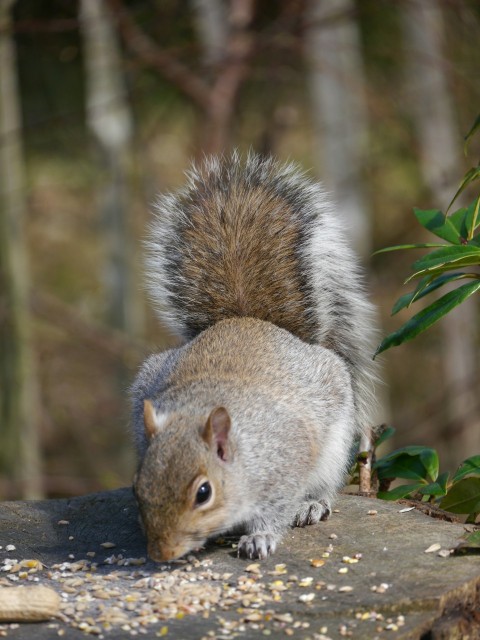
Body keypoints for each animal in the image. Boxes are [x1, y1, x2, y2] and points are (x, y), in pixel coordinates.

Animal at [131, 152, 378, 564]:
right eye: (138, 487)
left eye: (203, 492)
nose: (162, 554)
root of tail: (248, 319)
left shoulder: (287, 459)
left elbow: (276, 508)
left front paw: (260, 537)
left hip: (334, 440)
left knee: (325, 483)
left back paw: (313, 504)